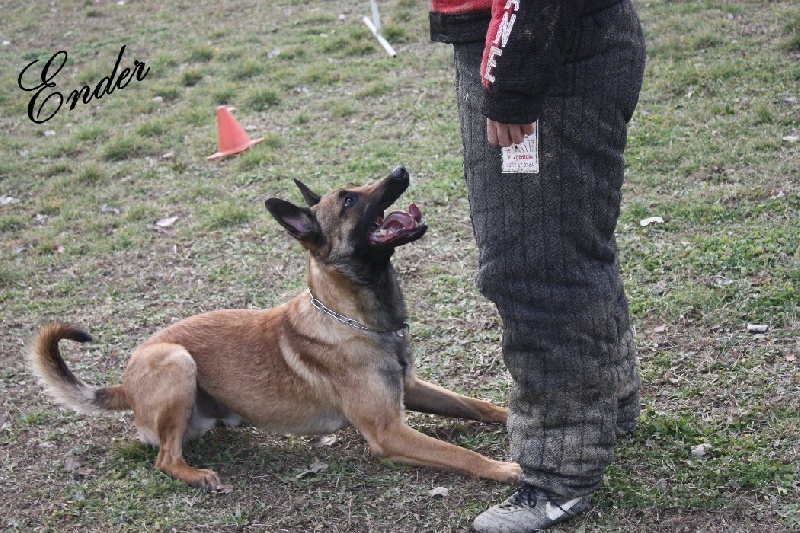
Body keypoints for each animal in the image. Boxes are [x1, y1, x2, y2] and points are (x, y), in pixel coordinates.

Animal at [25, 165, 520, 490]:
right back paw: (197, 475)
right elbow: (458, 453)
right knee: (165, 458)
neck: (356, 319)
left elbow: (476, 405)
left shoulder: (411, 388)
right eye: (349, 200)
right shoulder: (388, 432)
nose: (400, 170)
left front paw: (510, 415)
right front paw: (503, 469)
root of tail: (124, 385)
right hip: (176, 360)